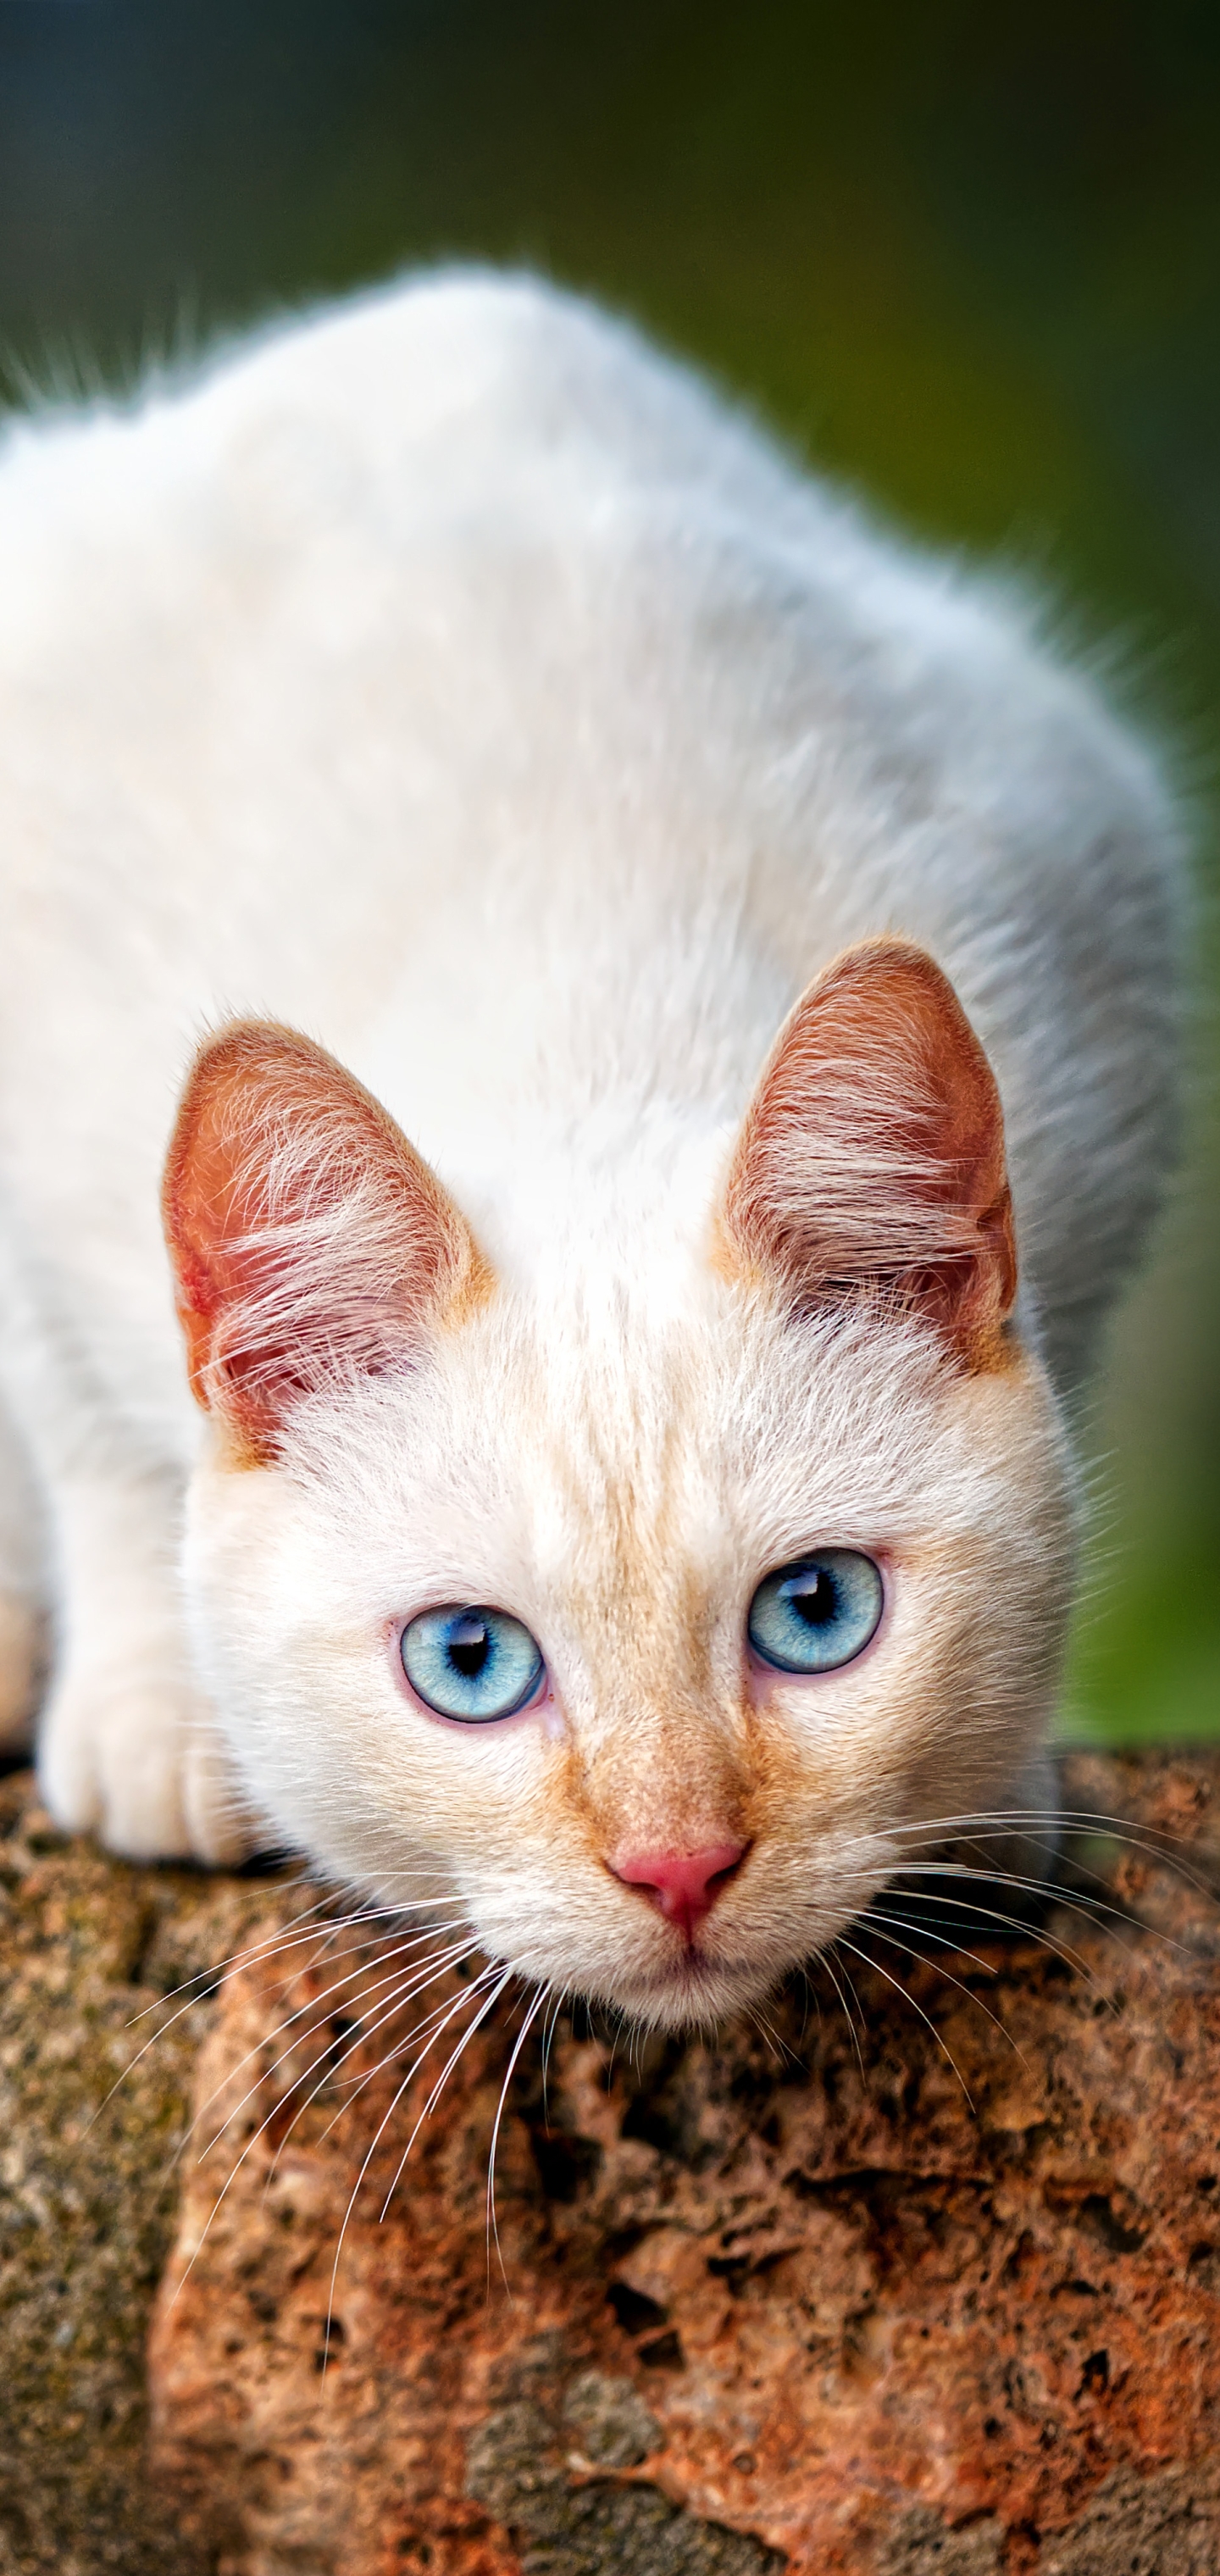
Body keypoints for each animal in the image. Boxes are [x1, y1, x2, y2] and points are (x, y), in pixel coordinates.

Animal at [0, 266, 1184, 2029]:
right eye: (469, 1663)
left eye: (817, 1614)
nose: (680, 1867)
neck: (590, 992)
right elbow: (81, 1421)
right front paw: (156, 1714)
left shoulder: (1091, 904)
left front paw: (988, 1794)